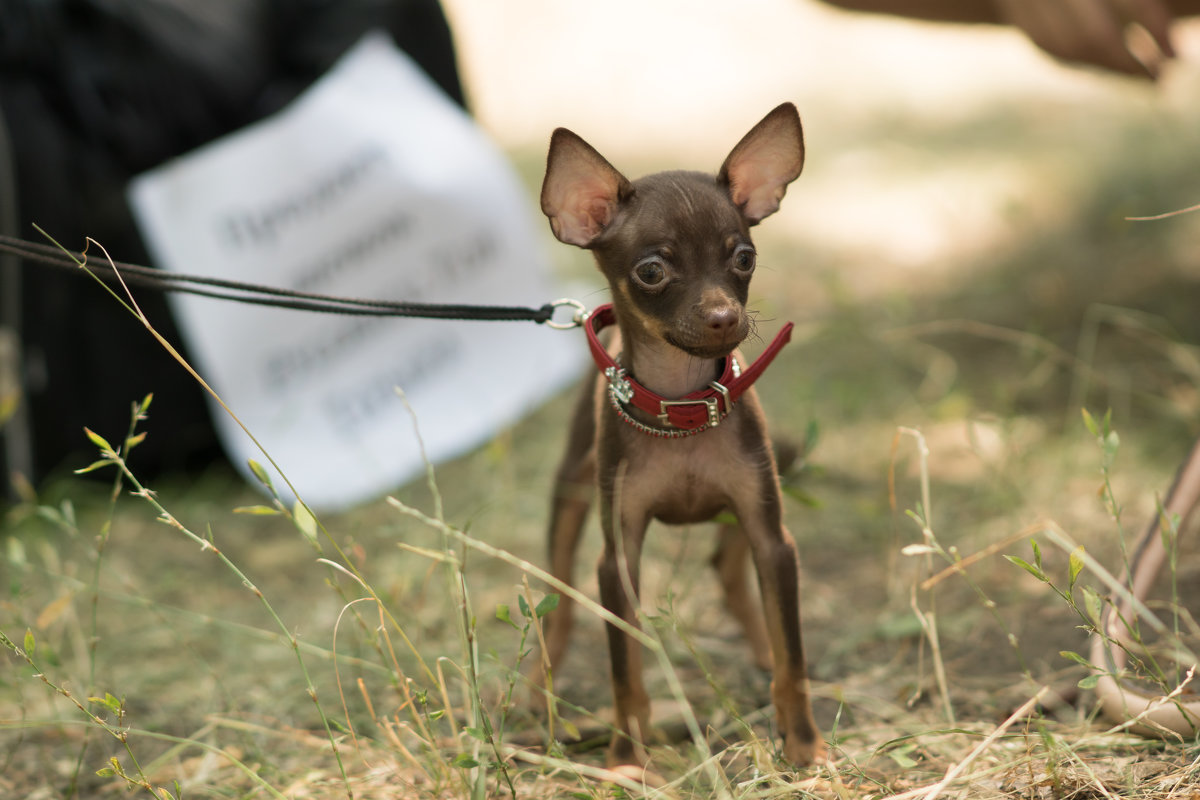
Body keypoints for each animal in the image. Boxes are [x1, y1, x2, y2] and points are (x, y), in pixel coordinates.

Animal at [537, 103, 825, 767]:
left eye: (743, 258)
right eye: (652, 271)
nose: (725, 317)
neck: (682, 405)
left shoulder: (773, 536)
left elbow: (793, 657)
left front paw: (804, 744)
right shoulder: (619, 558)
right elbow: (626, 668)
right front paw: (625, 758)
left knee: (731, 570)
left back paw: (759, 647)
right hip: (570, 492)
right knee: (558, 595)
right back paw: (538, 684)